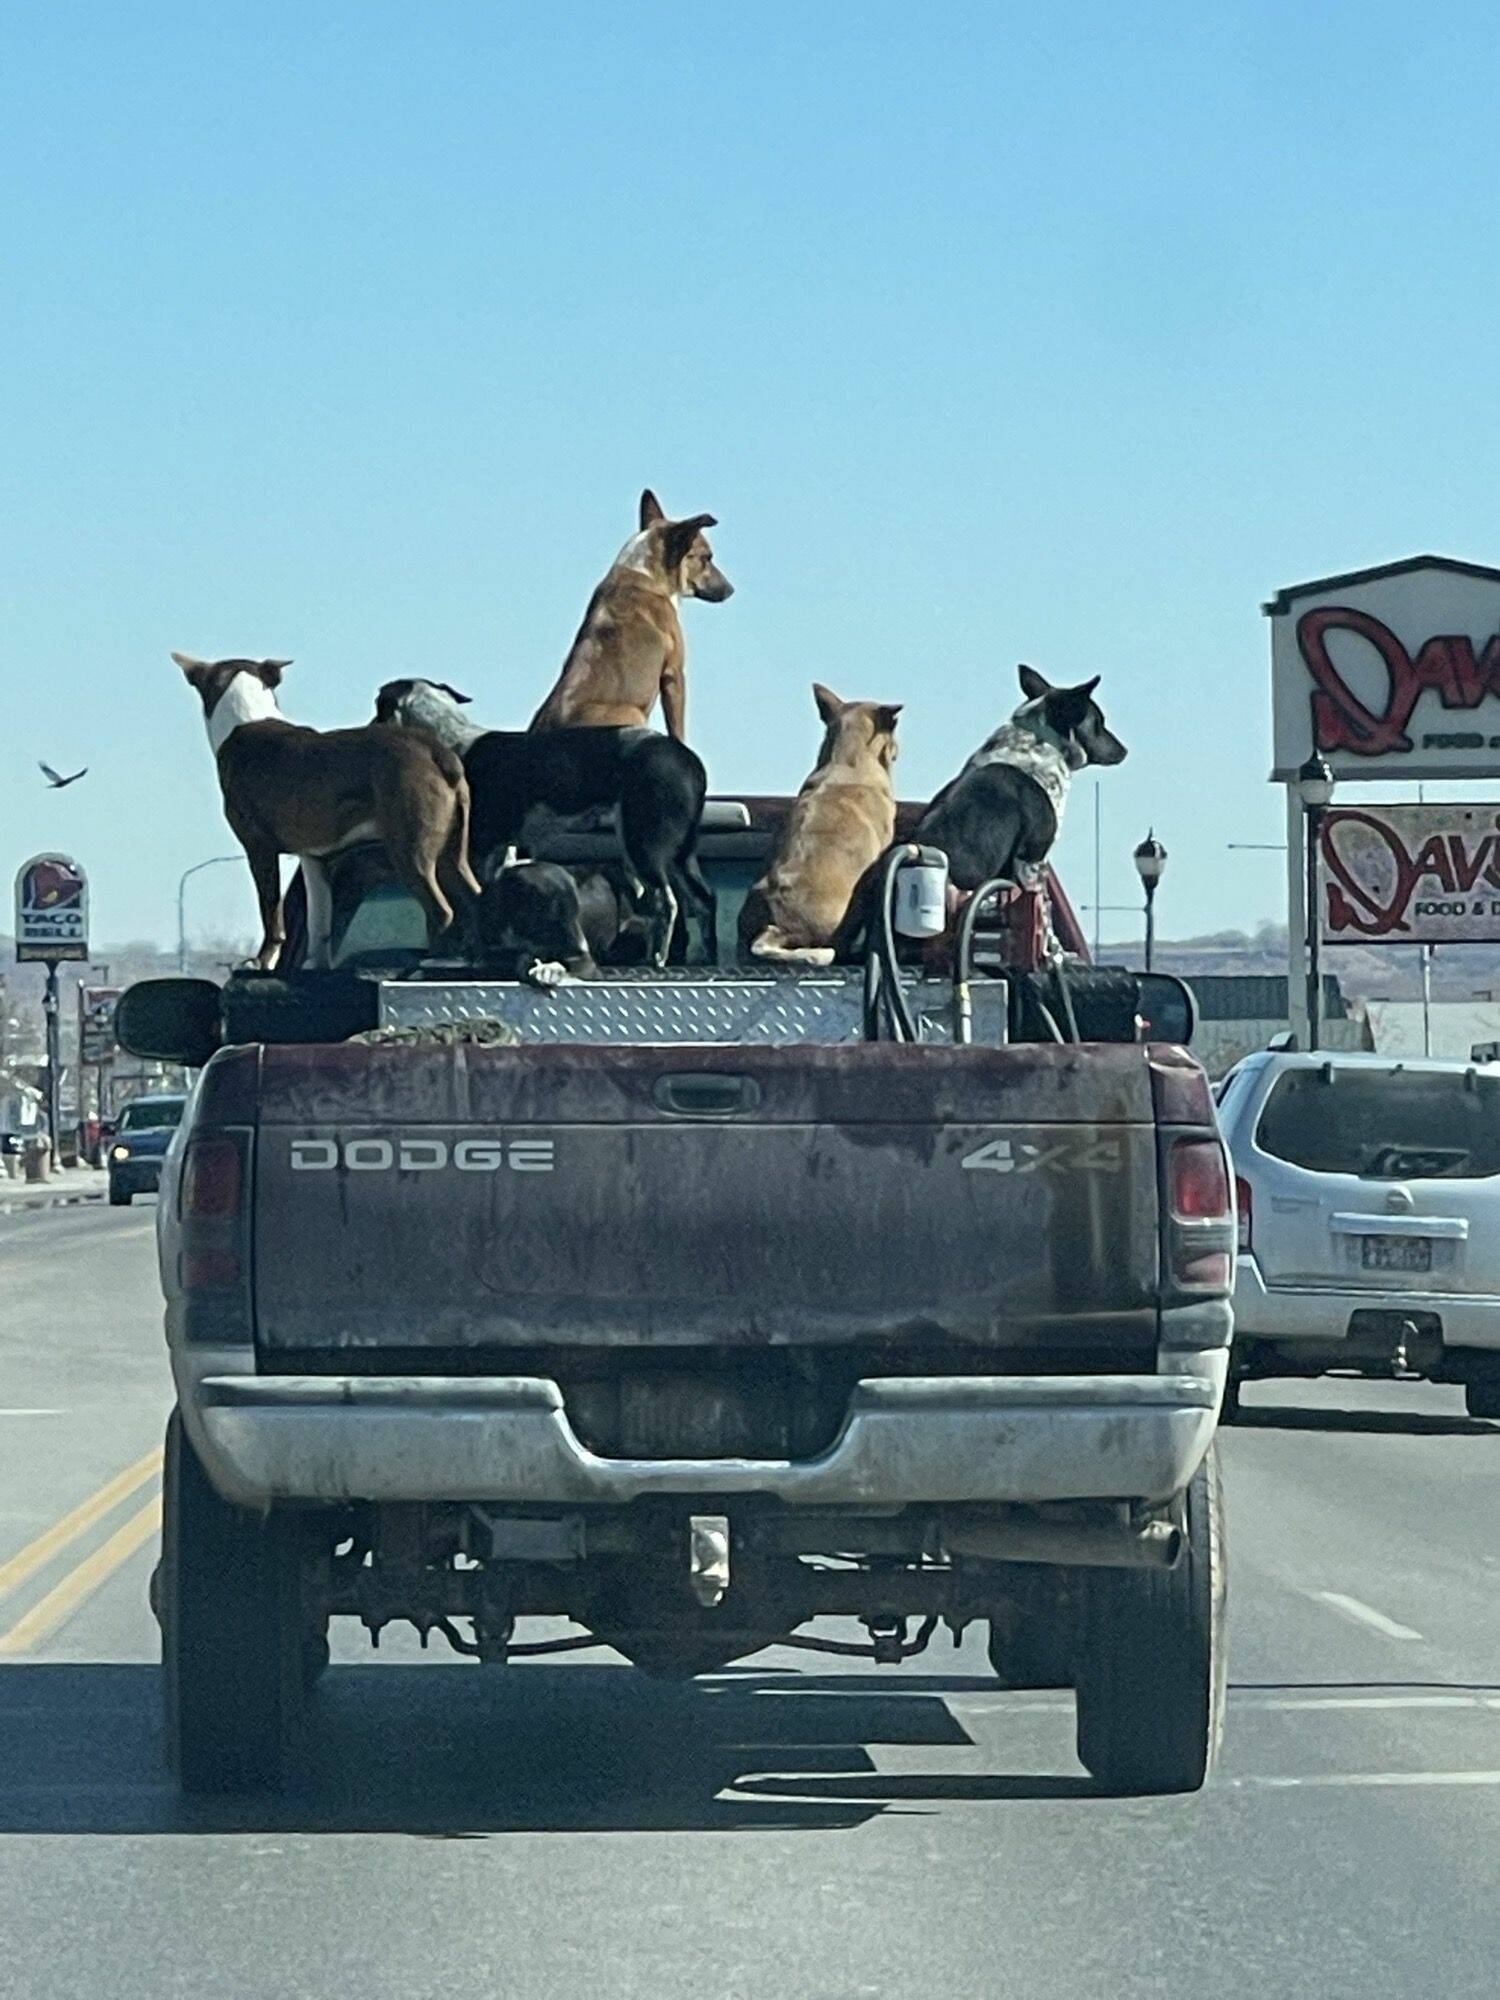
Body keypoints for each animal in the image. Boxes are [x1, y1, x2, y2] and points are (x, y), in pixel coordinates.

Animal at [176, 652, 482, 972]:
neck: (246, 718)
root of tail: (438, 754)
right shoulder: (314, 859)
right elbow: (319, 923)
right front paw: (315, 964)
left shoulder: (259, 847)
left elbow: (270, 911)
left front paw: (260, 961)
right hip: (452, 852)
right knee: (474, 897)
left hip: (410, 850)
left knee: (441, 910)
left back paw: (430, 960)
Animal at [382, 680, 724, 968]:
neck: (453, 739)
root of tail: (689, 762)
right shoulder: (508, 849)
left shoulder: (480, 848)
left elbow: (475, 903)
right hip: (680, 853)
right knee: (704, 900)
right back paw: (707, 958)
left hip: (643, 844)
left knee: (667, 903)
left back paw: (658, 958)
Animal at [532, 486, 736, 744]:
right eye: (706, 557)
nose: (731, 589)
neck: (646, 571)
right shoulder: (674, 670)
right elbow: (677, 727)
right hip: (633, 713)